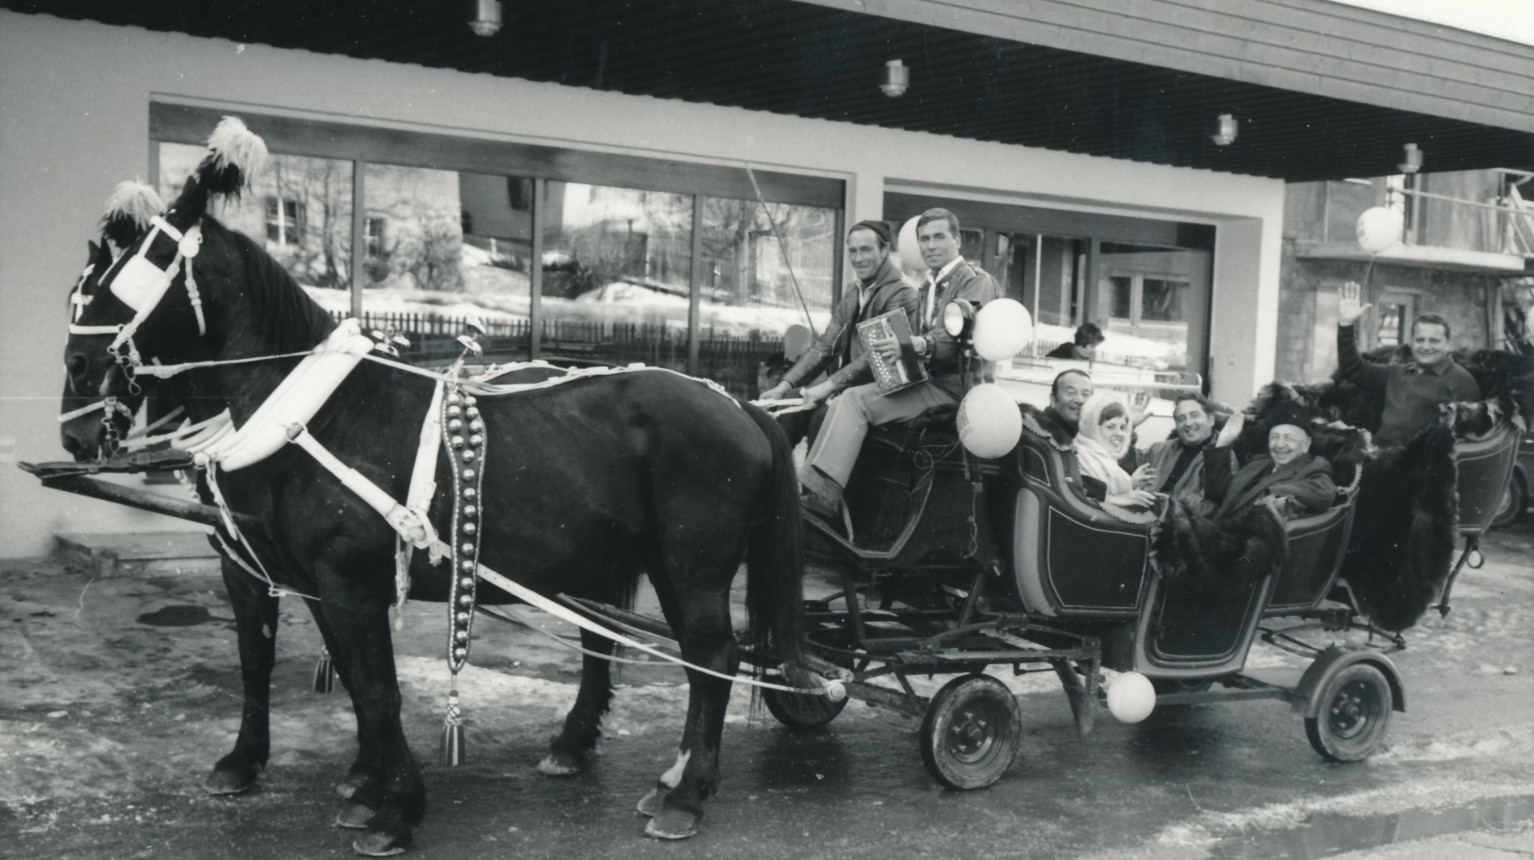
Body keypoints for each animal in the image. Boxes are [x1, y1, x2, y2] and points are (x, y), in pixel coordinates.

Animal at [59, 128, 816, 852]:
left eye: (143, 264)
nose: (78, 378)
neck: (313, 416)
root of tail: (737, 403)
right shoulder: (272, 573)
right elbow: (279, 667)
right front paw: (307, 775)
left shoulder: (345, 580)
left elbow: (376, 690)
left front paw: (395, 810)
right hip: (644, 561)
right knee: (660, 654)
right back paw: (643, 770)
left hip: (694, 566)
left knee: (713, 658)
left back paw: (686, 795)